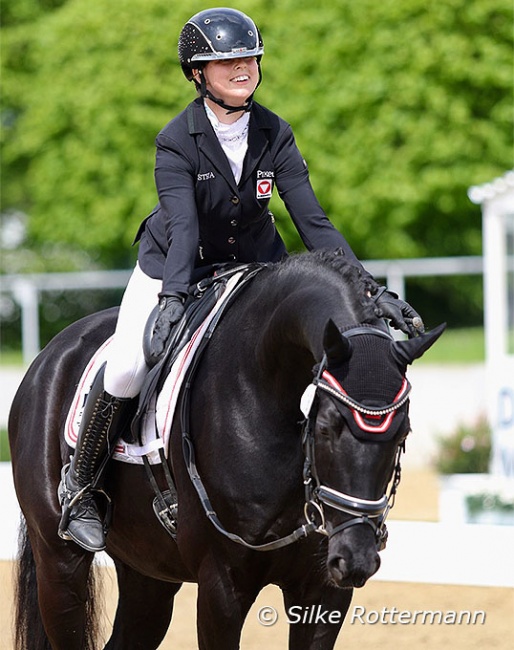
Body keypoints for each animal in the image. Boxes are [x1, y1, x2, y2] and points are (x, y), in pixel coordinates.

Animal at [8, 251, 442, 644]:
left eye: (402, 434)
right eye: (324, 428)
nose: (355, 558)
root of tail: (48, 355)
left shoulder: (322, 591)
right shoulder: (221, 585)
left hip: (148, 574)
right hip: (60, 564)